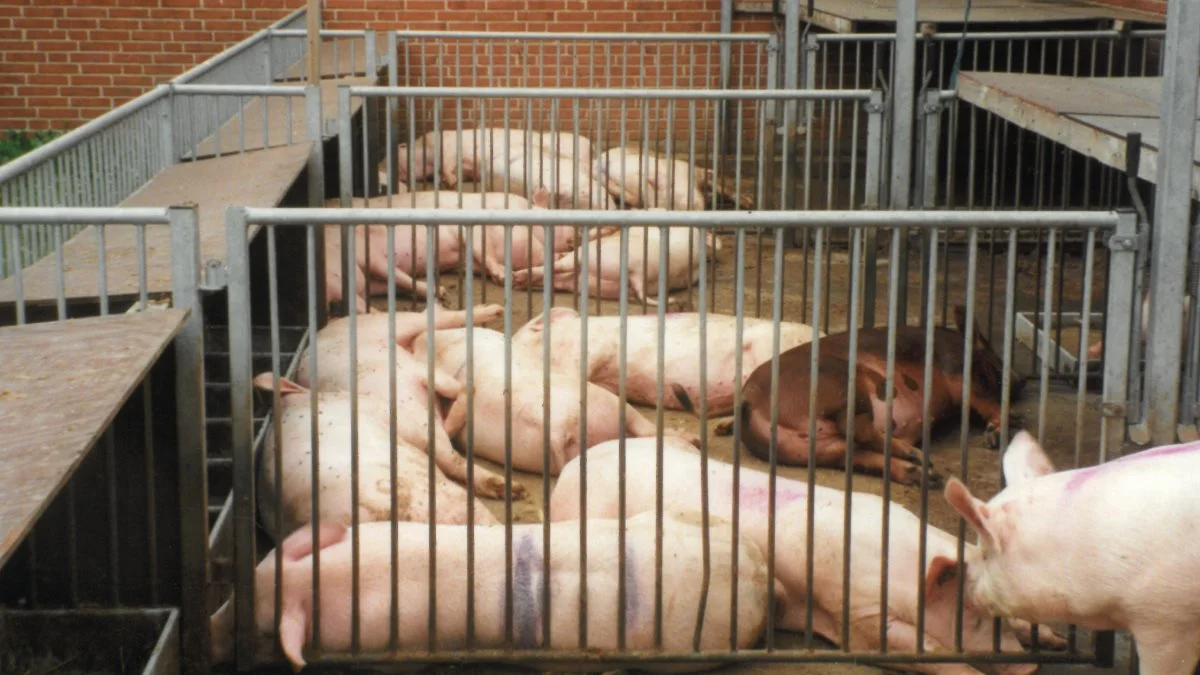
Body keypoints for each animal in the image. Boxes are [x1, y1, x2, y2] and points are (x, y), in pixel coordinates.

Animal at [552, 440, 1064, 675]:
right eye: (974, 617)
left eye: (999, 611)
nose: (1029, 665)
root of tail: (578, 464)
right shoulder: (858, 613)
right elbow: (922, 649)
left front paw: (1053, 639)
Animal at [719, 305, 1024, 486]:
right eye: (998, 362)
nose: (1020, 379)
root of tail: (748, 398)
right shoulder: (960, 372)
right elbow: (995, 405)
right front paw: (994, 437)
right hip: (840, 380)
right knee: (856, 429)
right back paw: (918, 456)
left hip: (808, 448)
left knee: (855, 451)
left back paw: (925, 473)